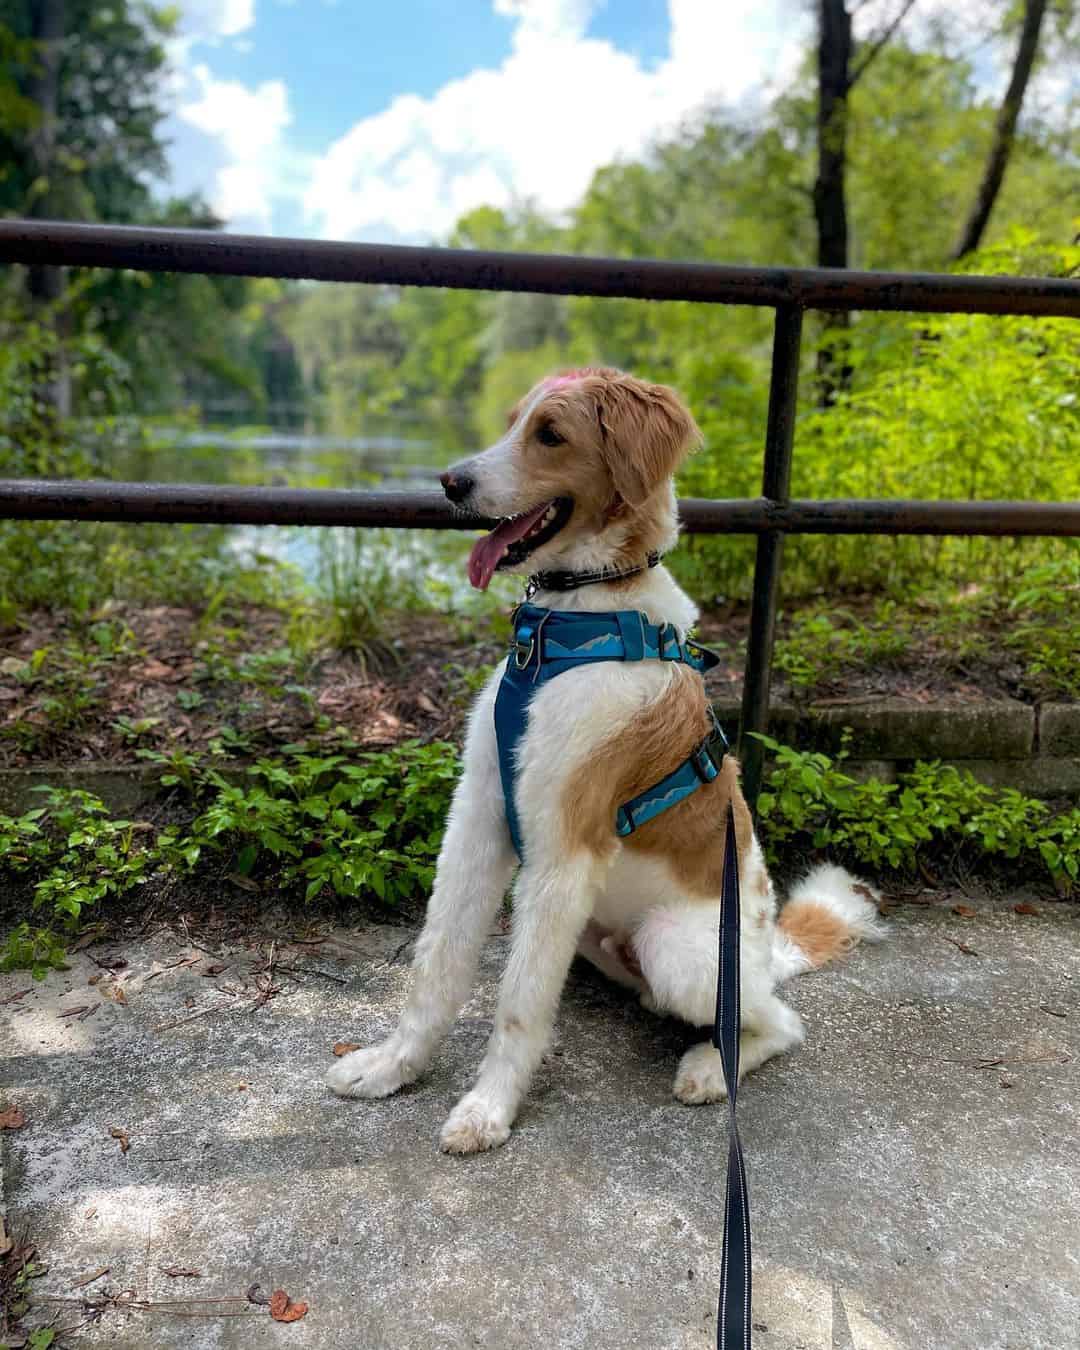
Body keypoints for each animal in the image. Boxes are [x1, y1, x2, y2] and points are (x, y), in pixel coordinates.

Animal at [325, 367, 880, 1150]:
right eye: (511, 422)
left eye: (551, 435)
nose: (450, 483)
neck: (573, 620)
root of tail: (770, 949)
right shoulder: (479, 819)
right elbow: (437, 961)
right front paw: (392, 1066)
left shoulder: (565, 852)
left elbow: (519, 1002)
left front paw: (489, 1108)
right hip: (593, 936)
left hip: (676, 950)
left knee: (778, 1023)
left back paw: (710, 1068)